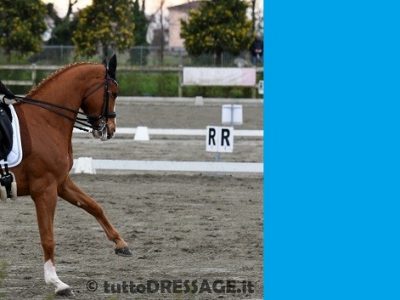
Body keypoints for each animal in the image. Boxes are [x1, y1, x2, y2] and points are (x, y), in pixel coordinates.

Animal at [2, 54, 132, 296]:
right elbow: (48, 237)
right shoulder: (44, 189)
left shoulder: (61, 183)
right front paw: (57, 283)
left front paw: (121, 244)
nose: (110, 130)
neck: (45, 120)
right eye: (113, 93)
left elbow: (94, 206)